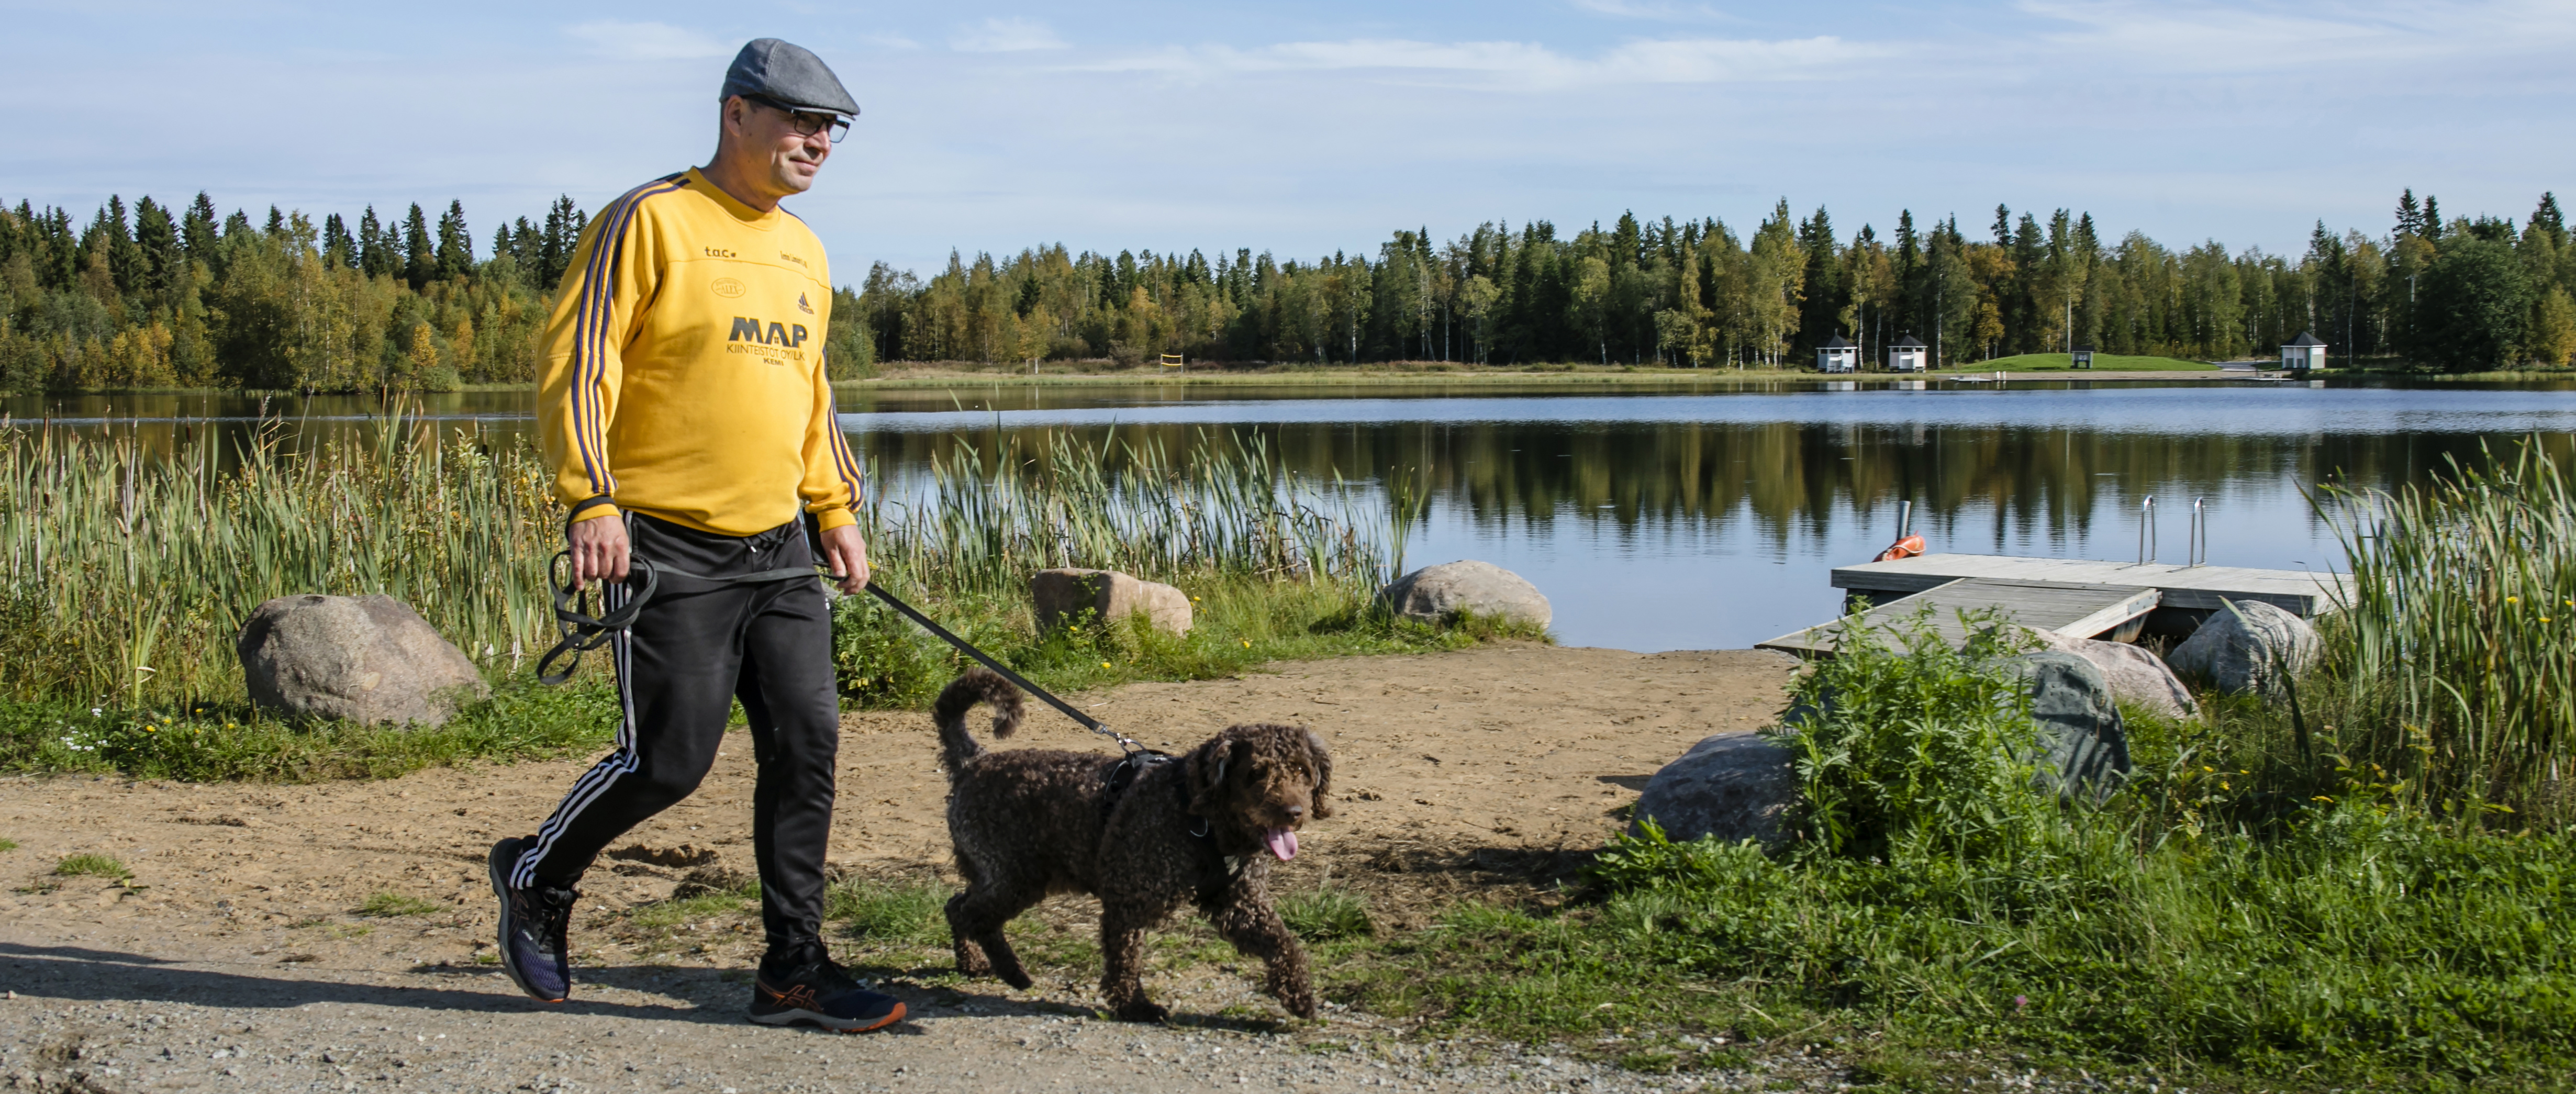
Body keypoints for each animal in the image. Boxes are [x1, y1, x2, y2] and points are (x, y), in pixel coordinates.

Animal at [932, 664, 1329, 1024]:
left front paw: (1300, 997)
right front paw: (1134, 1007)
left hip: (996, 875)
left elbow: (1282, 943)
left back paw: (972, 962)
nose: (1293, 813)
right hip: (1016, 877)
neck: (1199, 817)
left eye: (1301, 770)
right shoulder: (1129, 901)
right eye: (1255, 773)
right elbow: (1124, 959)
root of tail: (974, 761)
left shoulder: (1241, 904)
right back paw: (1012, 971)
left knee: (956, 907)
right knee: (974, 916)